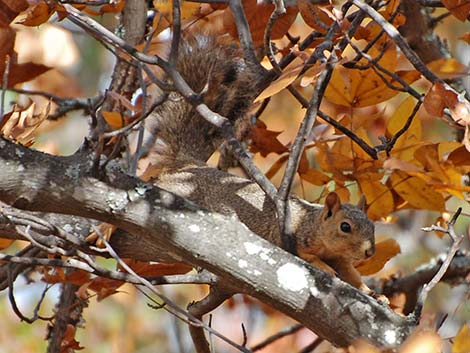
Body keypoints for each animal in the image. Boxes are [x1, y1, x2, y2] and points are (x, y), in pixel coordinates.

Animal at [143, 34, 374, 290]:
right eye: (345, 227)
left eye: (372, 226)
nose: (369, 252)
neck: (314, 224)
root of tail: (190, 165)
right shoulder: (290, 237)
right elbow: (306, 256)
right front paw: (322, 266)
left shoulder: (342, 260)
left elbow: (353, 276)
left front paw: (372, 292)